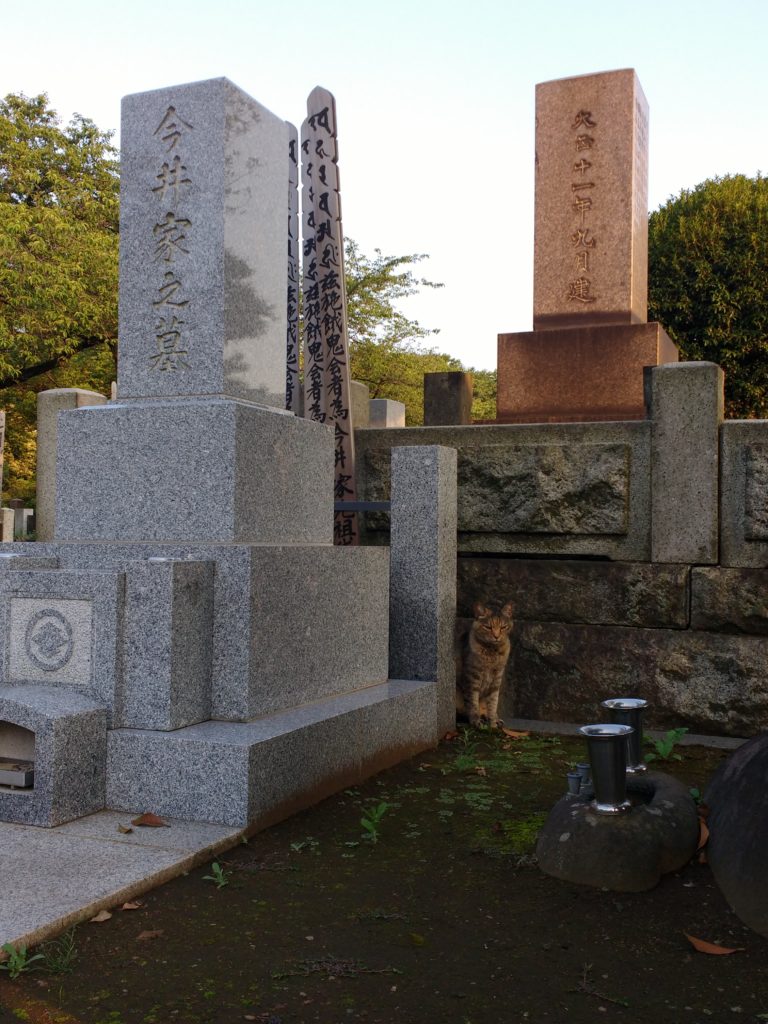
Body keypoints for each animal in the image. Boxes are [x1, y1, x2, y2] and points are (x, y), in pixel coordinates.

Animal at [456, 598, 518, 729]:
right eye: (488, 627)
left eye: (503, 627)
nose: (496, 636)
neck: (492, 652)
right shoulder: (472, 677)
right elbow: (473, 702)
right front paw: (476, 721)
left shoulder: (497, 679)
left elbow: (493, 702)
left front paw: (493, 721)